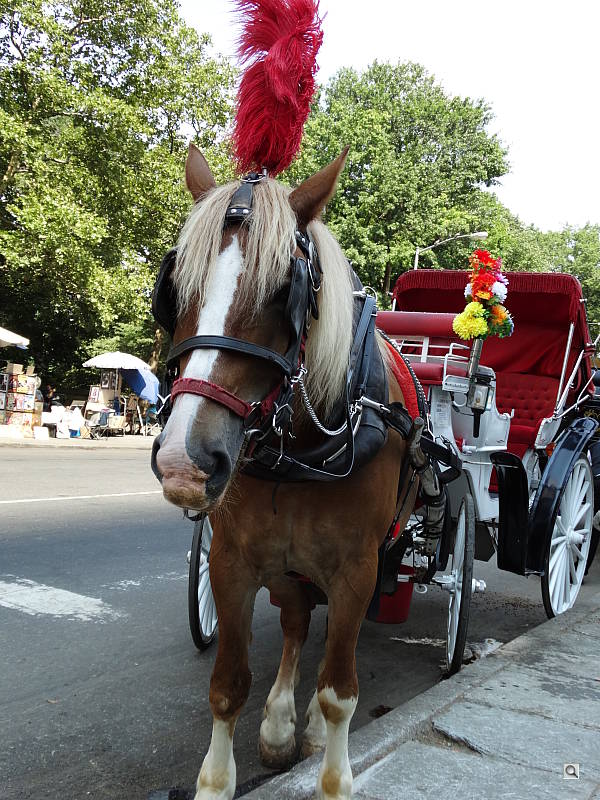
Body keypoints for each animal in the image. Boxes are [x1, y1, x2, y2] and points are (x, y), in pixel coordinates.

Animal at [151, 143, 414, 800]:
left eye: (281, 293)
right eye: (176, 289)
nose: (184, 461)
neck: (301, 451)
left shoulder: (357, 568)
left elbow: (340, 690)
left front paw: (335, 772)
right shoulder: (232, 562)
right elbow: (228, 687)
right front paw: (219, 778)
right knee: (297, 621)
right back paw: (279, 724)